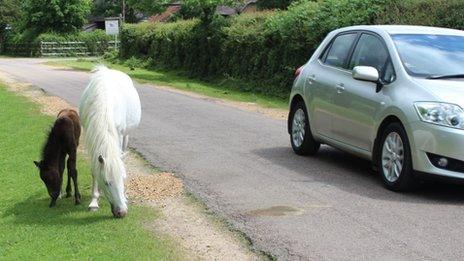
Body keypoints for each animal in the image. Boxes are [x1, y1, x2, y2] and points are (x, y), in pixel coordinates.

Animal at [79, 65, 140, 217]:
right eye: (107, 182)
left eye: (122, 179)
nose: (122, 212)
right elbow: (94, 169)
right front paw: (94, 202)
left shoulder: (119, 133)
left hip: (125, 135)